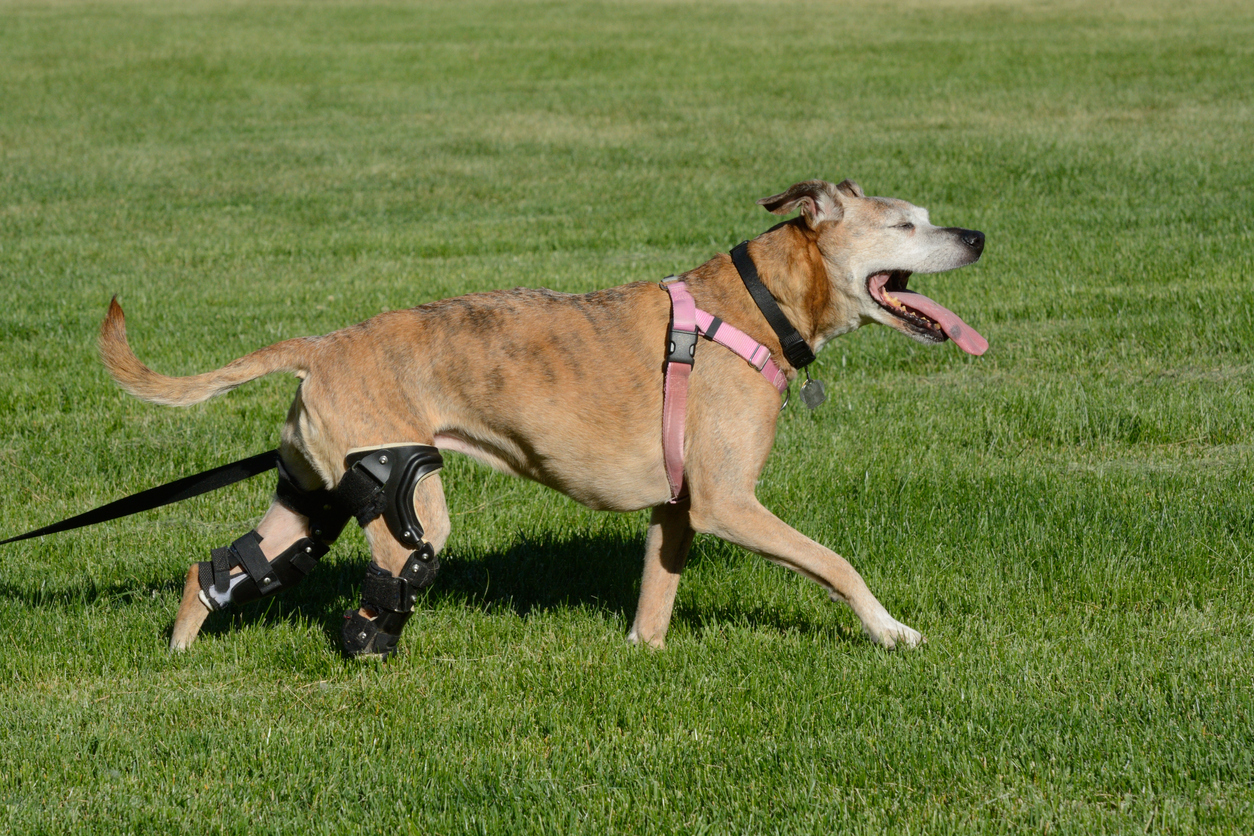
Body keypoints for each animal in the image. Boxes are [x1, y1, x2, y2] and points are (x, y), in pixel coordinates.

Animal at [97, 180, 983, 656]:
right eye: (906, 225)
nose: (976, 234)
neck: (752, 308)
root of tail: (326, 344)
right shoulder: (728, 503)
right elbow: (837, 564)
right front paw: (893, 632)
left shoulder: (677, 510)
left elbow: (655, 597)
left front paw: (642, 654)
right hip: (405, 496)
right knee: (389, 582)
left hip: (308, 488)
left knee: (225, 564)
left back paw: (181, 648)